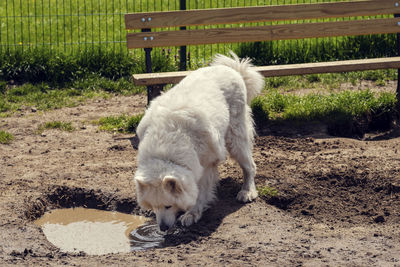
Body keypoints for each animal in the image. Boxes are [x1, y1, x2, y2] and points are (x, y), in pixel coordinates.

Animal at [134, 52, 266, 232]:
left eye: (168, 206)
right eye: (154, 206)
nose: (163, 229)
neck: (166, 152)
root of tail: (234, 69)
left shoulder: (207, 164)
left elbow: (199, 193)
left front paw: (192, 214)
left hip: (236, 140)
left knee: (250, 167)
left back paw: (247, 192)